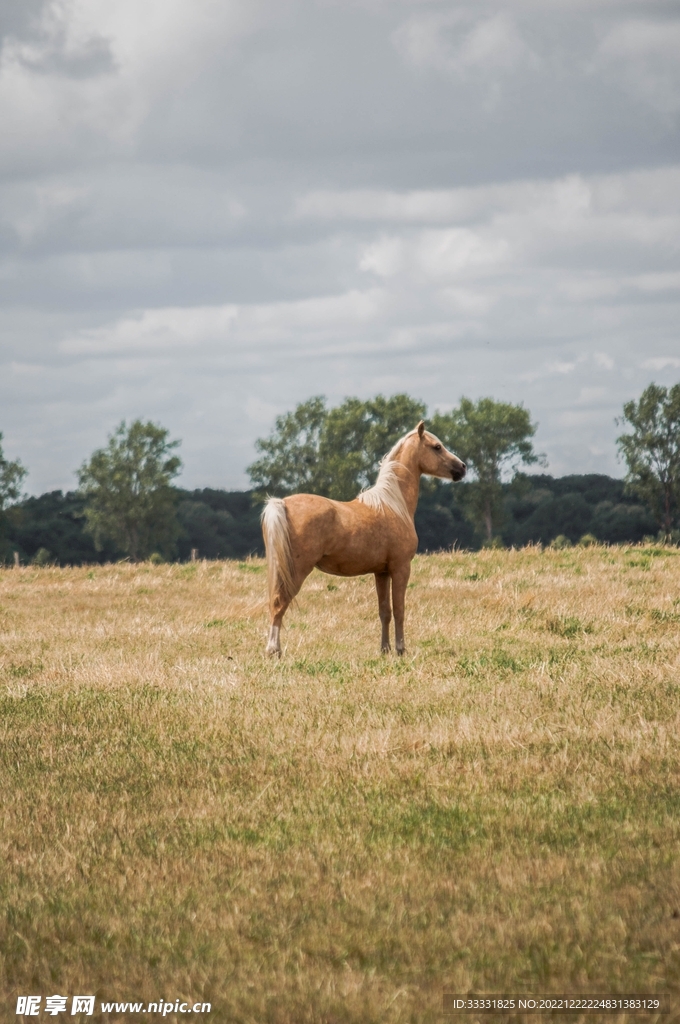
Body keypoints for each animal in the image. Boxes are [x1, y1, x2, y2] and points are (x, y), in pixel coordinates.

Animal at [260, 421, 466, 657]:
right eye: (437, 447)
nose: (462, 468)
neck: (393, 504)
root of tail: (282, 503)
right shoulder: (401, 568)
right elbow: (400, 609)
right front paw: (400, 649)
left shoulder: (382, 572)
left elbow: (385, 611)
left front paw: (385, 649)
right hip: (297, 571)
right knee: (279, 604)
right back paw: (273, 650)